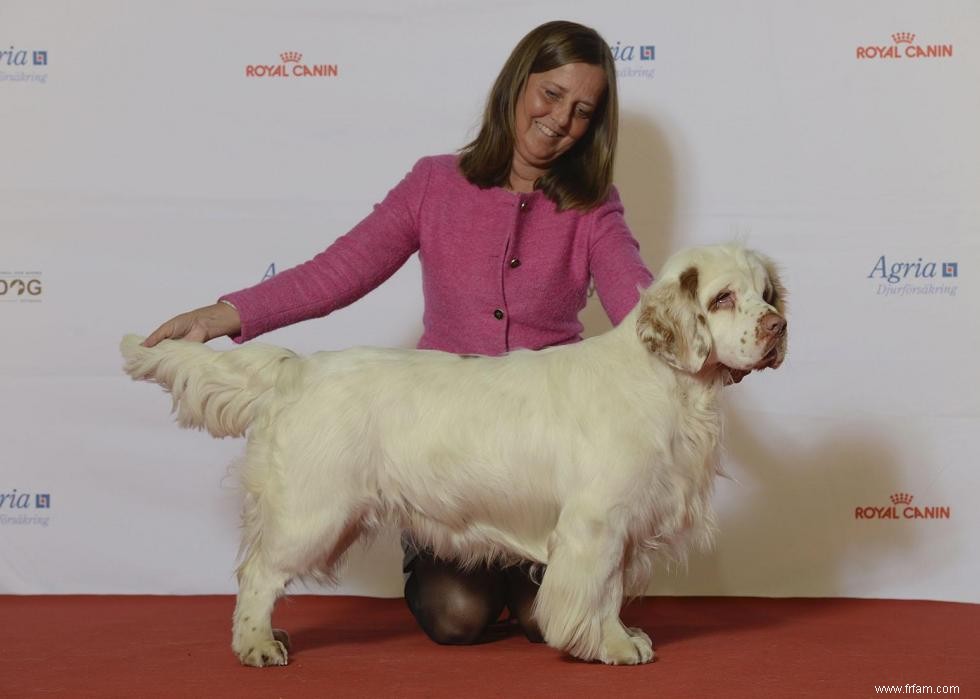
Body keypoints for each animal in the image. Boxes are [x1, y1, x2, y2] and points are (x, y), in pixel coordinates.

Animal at [118, 245, 784, 668]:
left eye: (767, 293)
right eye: (723, 298)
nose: (778, 326)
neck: (668, 382)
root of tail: (297, 368)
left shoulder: (618, 525)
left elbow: (611, 590)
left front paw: (618, 637)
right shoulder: (596, 523)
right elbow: (597, 593)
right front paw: (614, 648)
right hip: (314, 511)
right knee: (257, 574)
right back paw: (258, 646)